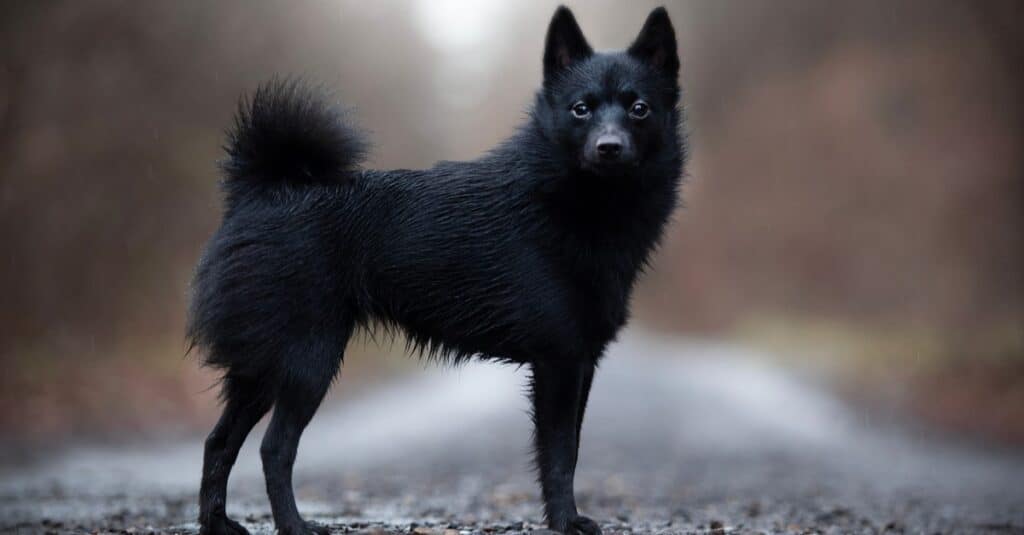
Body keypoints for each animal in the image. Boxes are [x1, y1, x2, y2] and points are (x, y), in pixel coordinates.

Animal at [192, 5, 688, 532]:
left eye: (639, 109)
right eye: (581, 109)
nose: (609, 146)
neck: (578, 203)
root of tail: (262, 190)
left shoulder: (581, 362)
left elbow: (570, 449)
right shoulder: (559, 361)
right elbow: (558, 455)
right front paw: (565, 521)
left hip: (261, 367)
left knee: (219, 441)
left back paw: (217, 523)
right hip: (307, 360)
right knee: (274, 448)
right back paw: (294, 525)